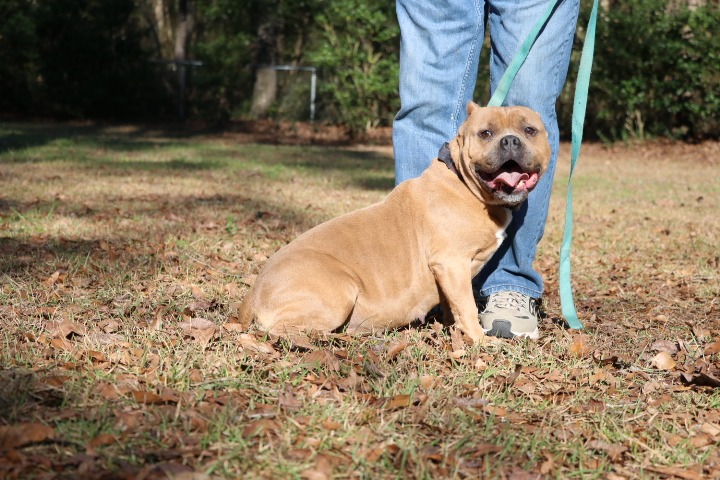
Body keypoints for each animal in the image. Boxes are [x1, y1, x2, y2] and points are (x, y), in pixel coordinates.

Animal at [238, 102, 551, 344]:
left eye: (529, 130)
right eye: (486, 133)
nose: (509, 141)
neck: (466, 185)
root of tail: (253, 293)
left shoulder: (449, 275)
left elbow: (453, 305)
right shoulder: (452, 264)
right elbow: (468, 306)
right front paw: (481, 340)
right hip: (339, 288)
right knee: (284, 332)